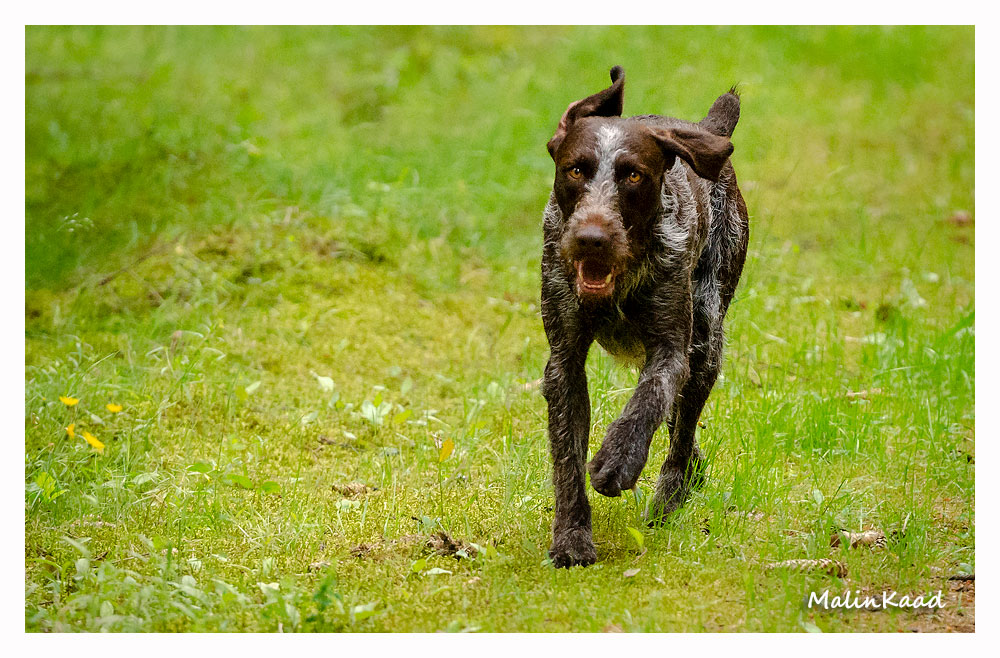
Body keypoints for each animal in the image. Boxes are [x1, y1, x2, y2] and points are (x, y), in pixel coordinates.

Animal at [540, 66, 748, 567]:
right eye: (576, 169)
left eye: (632, 175)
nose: (592, 238)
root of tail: (704, 128)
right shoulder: (563, 362)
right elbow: (567, 458)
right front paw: (572, 538)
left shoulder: (672, 350)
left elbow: (648, 402)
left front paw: (618, 461)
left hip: (706, 342)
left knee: (681, 432)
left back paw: (672, 494)